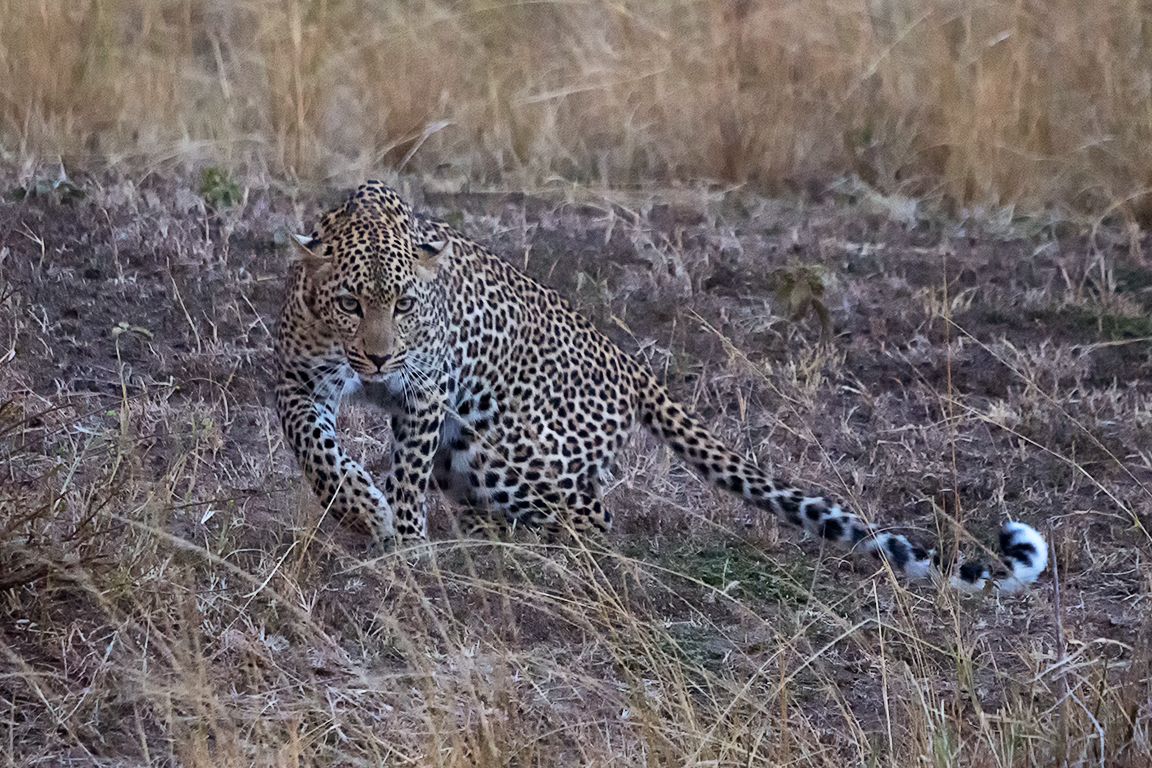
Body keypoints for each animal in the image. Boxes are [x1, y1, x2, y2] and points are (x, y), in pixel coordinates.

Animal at [275, 181, 1048, 593]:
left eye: (405, 304)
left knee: (594, 518)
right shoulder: (297, 380)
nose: (378, 361)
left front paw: (401, 537)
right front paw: (359, 507)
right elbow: (316, 452)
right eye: (350, 303)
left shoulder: (425, 394)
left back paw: (518, 553)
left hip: (493, 451)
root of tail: (629, 363)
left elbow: (404, 474)